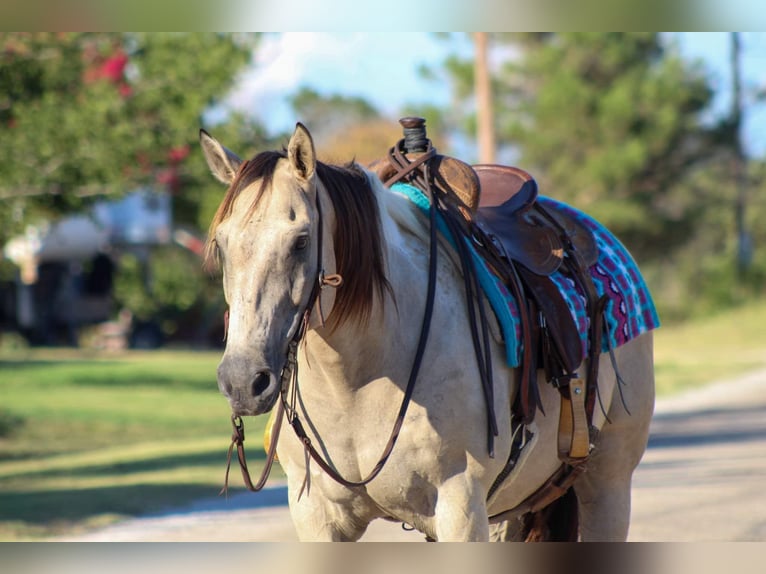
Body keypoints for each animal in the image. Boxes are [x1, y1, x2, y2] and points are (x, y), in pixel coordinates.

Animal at [199, 123, 656, 541]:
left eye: (301, 241)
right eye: (221, 244)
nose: (242, 382)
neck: (357, 380)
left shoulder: (460, 504)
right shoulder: (315, 515)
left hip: (608, 480)